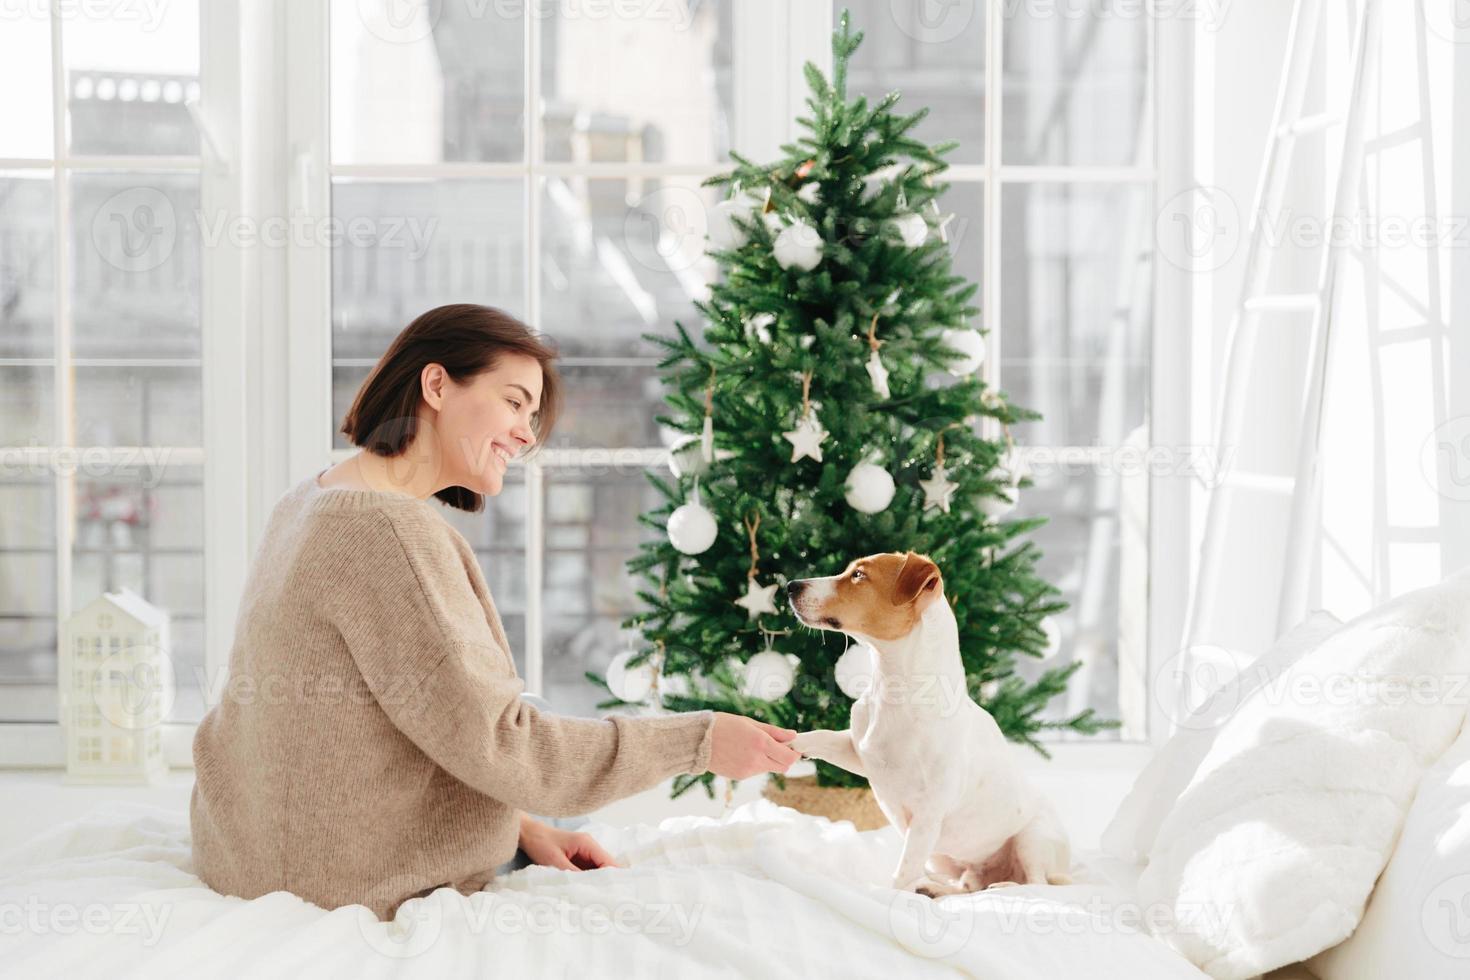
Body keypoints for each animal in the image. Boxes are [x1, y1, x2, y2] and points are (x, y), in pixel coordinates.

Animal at [793, 552, 1070, 899]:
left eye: (858, 575)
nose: (790, 586)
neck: (893, 689)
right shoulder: (861, 754)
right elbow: (823, 737)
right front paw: (791, 743)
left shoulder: (927, 816)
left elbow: (903, 872)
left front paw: (892, 897)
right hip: (944, 859)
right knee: (968, 886)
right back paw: (938, 889)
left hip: (1031, 839)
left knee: (1035, 883)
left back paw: (1003, 886)